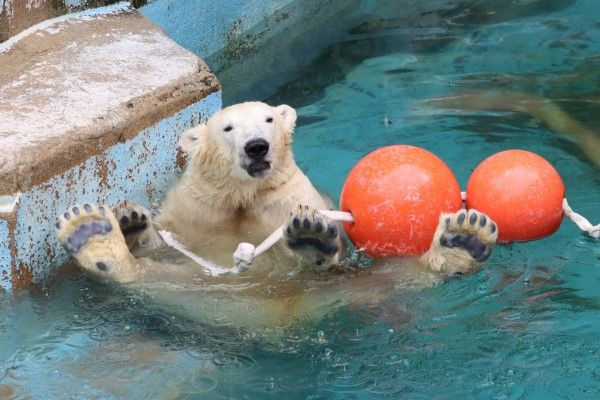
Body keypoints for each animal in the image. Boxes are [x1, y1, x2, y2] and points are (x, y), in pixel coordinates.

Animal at [55, 101, 496, 330]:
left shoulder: (287, 197)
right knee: (156, 280)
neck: (242, 195)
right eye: (228, 127)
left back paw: (461, 242)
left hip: (346, 290)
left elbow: (332, 244)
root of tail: (278, 316)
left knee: (393, 276)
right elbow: (170, 240)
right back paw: (94, 237)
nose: (257, 146)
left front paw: (314, 232)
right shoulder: (197, 204)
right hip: (199, 294)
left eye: (268, 119)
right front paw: (131, 220)